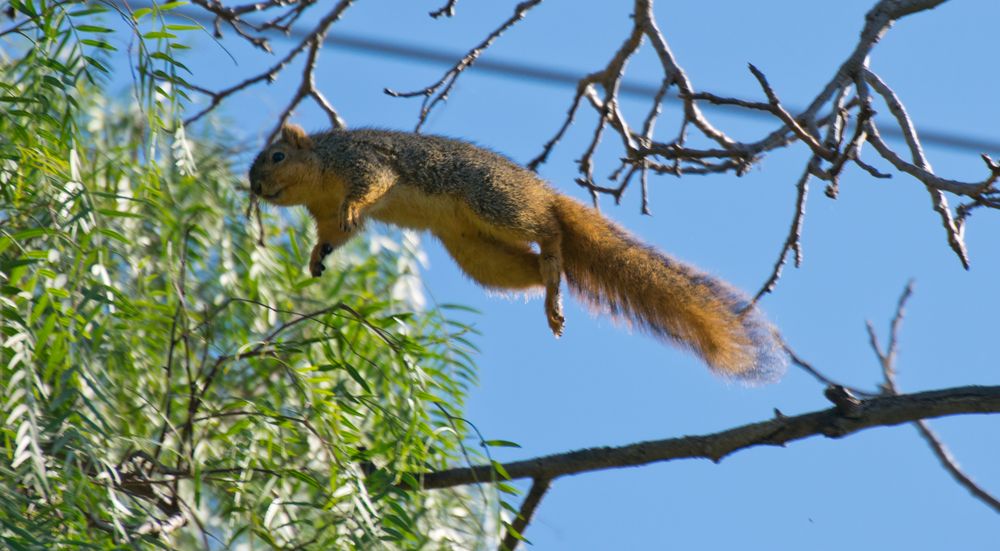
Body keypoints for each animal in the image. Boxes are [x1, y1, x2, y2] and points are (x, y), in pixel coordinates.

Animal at [250, 124, 788, 384]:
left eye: (277, 156)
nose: (255, 187)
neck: (321, 174)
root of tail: (542, 190)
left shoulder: (362, 163)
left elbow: (367, 190)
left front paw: (352, 208)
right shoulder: (324, 211)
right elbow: (334, 234)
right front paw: (318, 256)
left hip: (493, 201)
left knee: (548, 229)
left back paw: (551, 250)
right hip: (476, 251)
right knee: (533, 270)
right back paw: (551, 292)